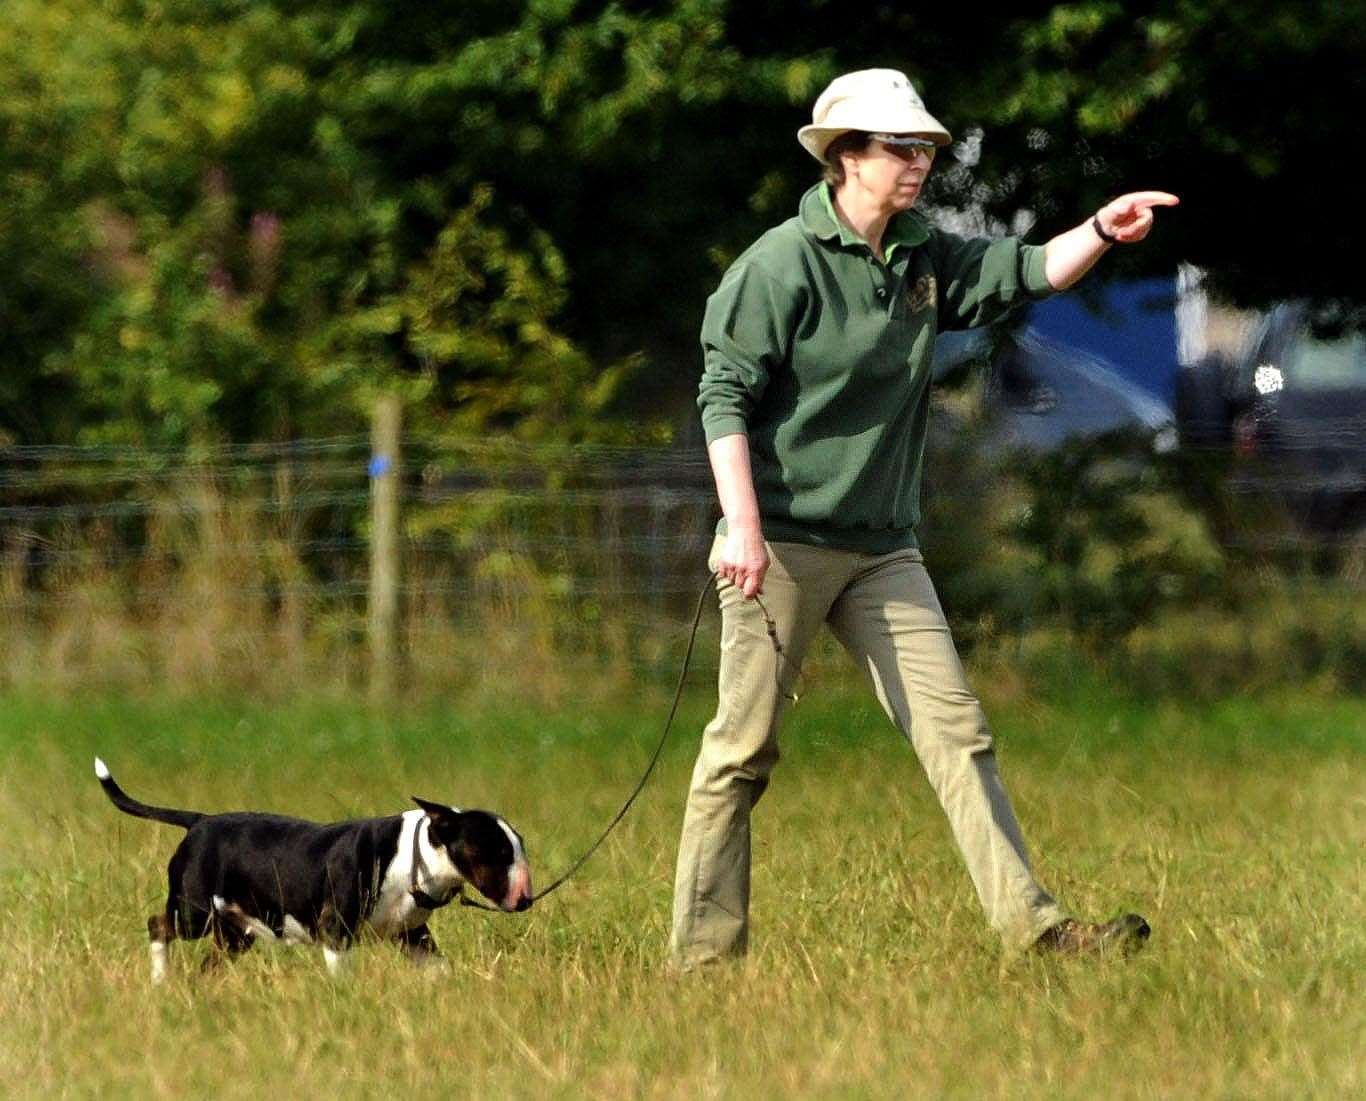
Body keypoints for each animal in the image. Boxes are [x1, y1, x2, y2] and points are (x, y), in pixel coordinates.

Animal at [94, 759, 532, 983]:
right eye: (494, 849)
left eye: (520, 844)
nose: (526, 898)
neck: (413, 857)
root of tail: (199, 821)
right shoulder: (335, 930)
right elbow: (342, 976)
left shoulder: (413, 936)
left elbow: (439, 969)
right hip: (194, 912)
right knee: (157, 925)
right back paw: (160, 979)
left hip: (235, 933)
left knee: (209, 962)